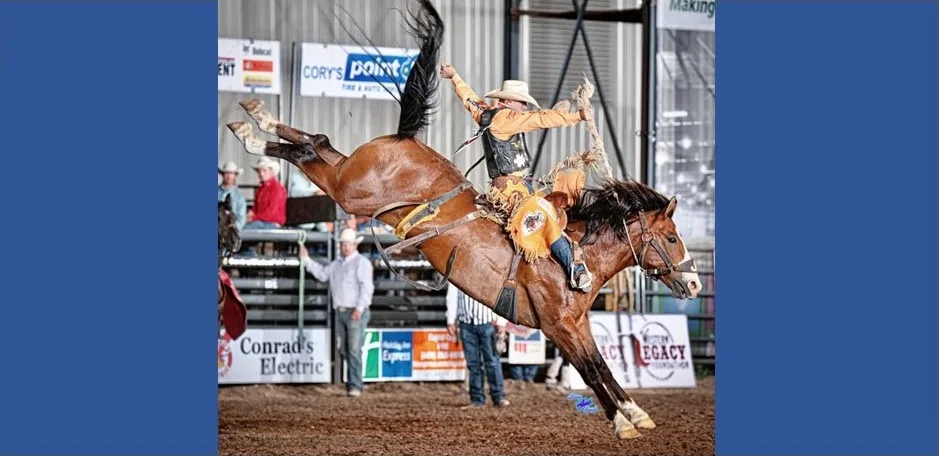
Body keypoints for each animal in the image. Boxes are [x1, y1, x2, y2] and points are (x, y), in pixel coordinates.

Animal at [226, 0, 696, 442]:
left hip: (349, 177)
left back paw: (252, 116)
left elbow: (602, 365)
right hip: (349, 189)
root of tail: (404, 139)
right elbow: (590, 370)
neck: (576, 254)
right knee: (310, 152)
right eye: (673, 238)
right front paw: (622, 423)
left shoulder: (578, 325)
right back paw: (250, 129)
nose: (693, 283)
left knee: (318, 143)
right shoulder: (558, 326)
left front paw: (636, 413)